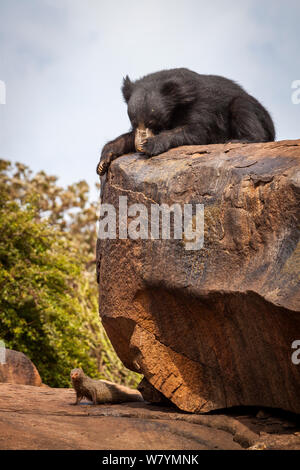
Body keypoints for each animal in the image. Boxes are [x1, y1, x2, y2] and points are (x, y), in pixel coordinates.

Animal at [97, 70, 276, 178]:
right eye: (134, 122)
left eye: (152, 122)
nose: (139, 145)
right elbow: (127, 137)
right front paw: (104, 161)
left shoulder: (201, 107)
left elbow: (197, 131)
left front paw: (151, 144)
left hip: (252, 111)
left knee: (242, 108)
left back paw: (239, 140)